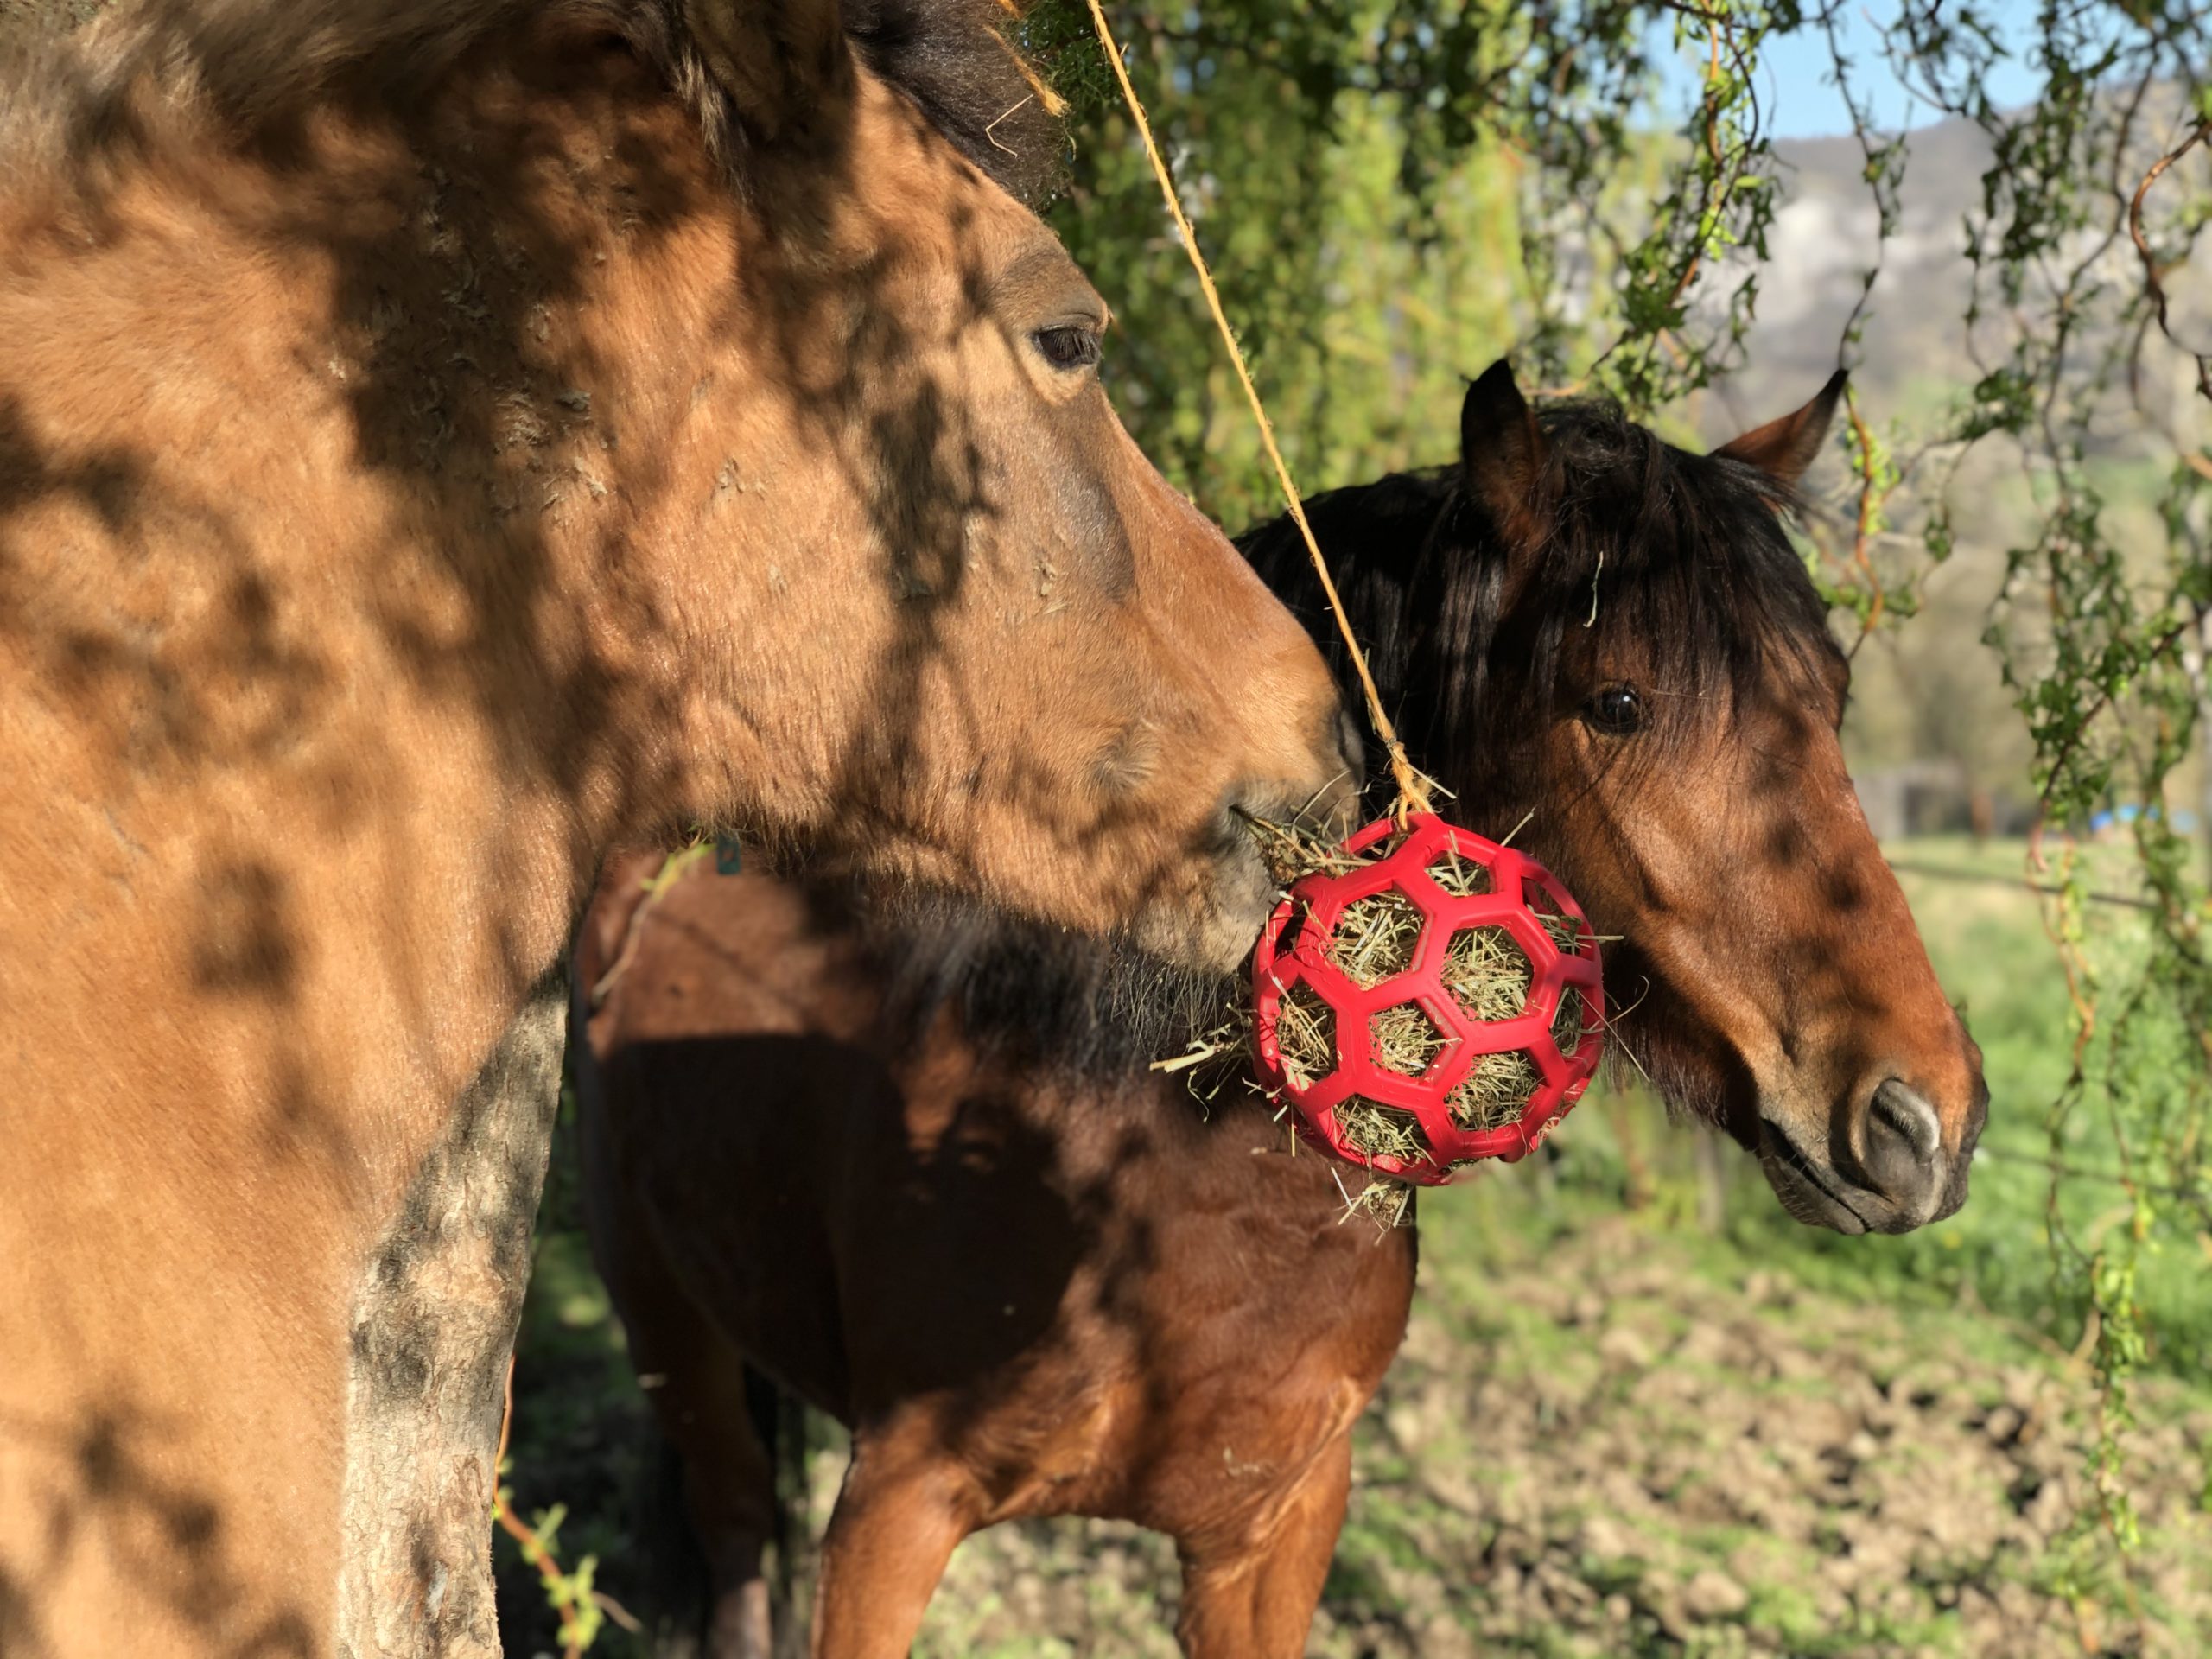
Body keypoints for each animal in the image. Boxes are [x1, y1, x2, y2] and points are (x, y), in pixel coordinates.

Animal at [575, 359, 1992, 1658]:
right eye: (1619, 702)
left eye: (1834, 699)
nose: (1923, 1123)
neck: (1132, 1171)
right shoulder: (892, 1516)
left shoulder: (1274, 1531)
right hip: (669, 1333)